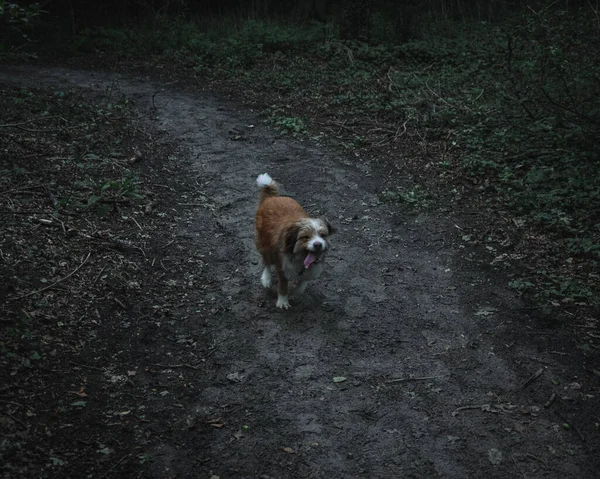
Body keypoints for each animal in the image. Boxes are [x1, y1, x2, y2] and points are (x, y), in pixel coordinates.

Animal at [253, 174, 332, 310]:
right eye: (305, 237)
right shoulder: (283, 267)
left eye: (323, 235)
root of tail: (271, 197)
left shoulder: (310, 271)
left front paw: (296, 291)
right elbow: (283, 286)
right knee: (266, 261)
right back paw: (266, 279)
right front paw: (283, 301)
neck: (300, 257)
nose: (318, 244)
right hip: (263, 243)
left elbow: (302, 284)